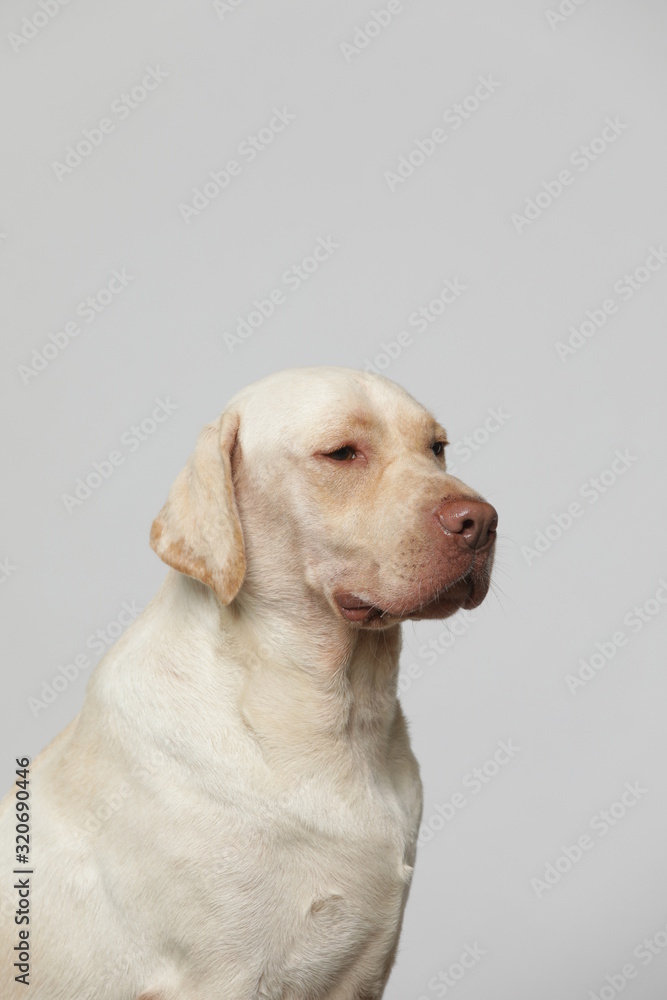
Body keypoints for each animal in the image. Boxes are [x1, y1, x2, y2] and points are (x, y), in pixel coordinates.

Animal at [0, 368, 498, 1000]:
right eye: (342, 453)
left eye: (437, 448)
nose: (481, 522)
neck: (340, 721)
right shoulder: (221, 976)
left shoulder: (365, 971)